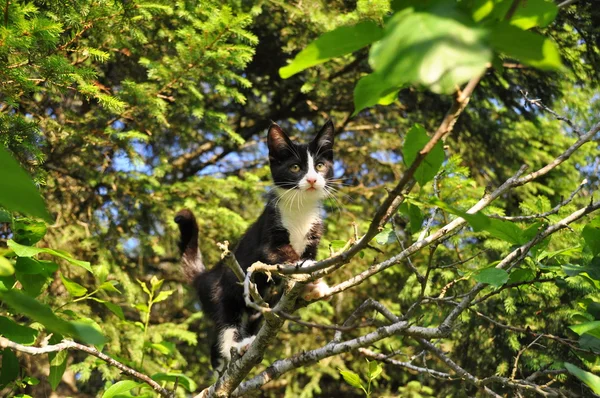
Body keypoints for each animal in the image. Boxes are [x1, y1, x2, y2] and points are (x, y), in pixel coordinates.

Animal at [176, 120, 336, 374]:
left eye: (320, 166)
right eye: (295, 167)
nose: (312, 180)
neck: (300, 210)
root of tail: (206, 276)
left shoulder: (314, 236)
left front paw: (313, 287)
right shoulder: (269, 236)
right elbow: (283, 255)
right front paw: (308, 267)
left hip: (255, 310)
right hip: (223, 296)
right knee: (225, 326)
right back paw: (236, 348)